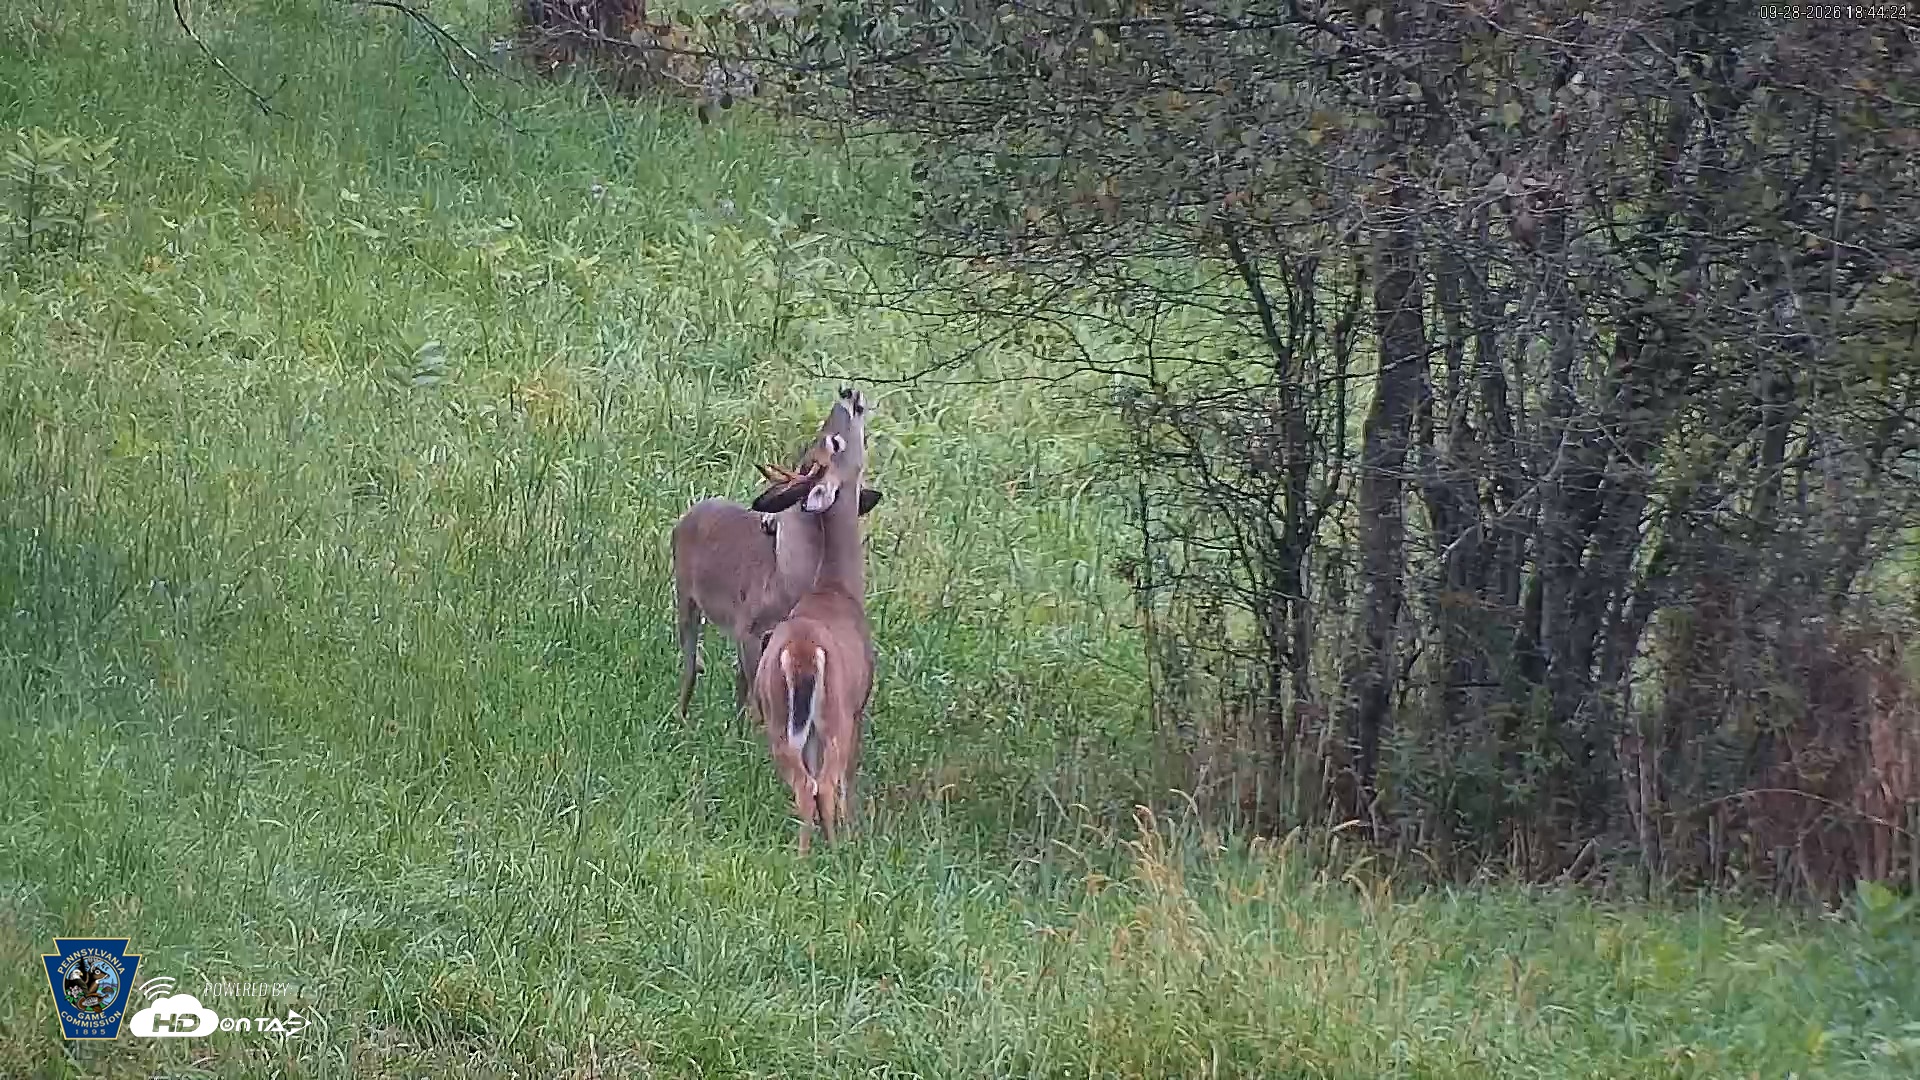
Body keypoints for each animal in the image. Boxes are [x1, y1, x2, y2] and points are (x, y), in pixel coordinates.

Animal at [671, 444, 881, 724]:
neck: (783, 581)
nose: (764, 520)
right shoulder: (747, 627)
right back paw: (681, 719)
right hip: (685, 592)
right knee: (691, 663)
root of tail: (687, 515)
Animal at [747, 385, 876, 854]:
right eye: (835, 442)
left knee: (804, 784)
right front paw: (851, 832)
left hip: (779, 718)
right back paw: (832, 855)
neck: (838, 586)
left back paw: (802, 854)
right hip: (834, 716)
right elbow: (844, 785)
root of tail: (801, 651)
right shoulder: (858, 707)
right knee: (820, 784)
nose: (849, 393)